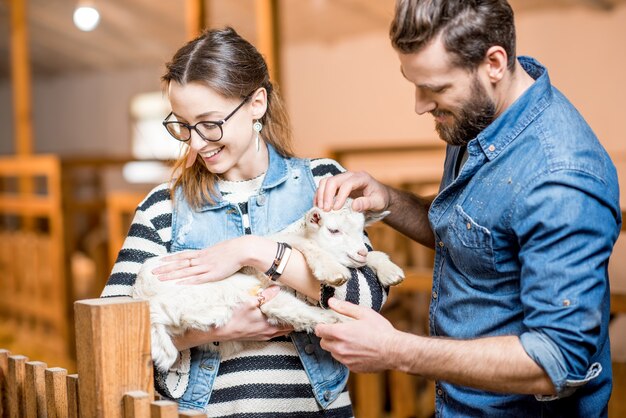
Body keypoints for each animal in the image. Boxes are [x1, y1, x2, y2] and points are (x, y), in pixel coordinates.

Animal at [133, 204, 402, 370]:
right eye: (334, 230)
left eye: (361, 230)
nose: (360, 251)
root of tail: (141, 292)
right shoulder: (284, 244)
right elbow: (305, 248)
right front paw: (333, 272)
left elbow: (370, 259)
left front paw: (389, 271)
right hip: (218, 290)